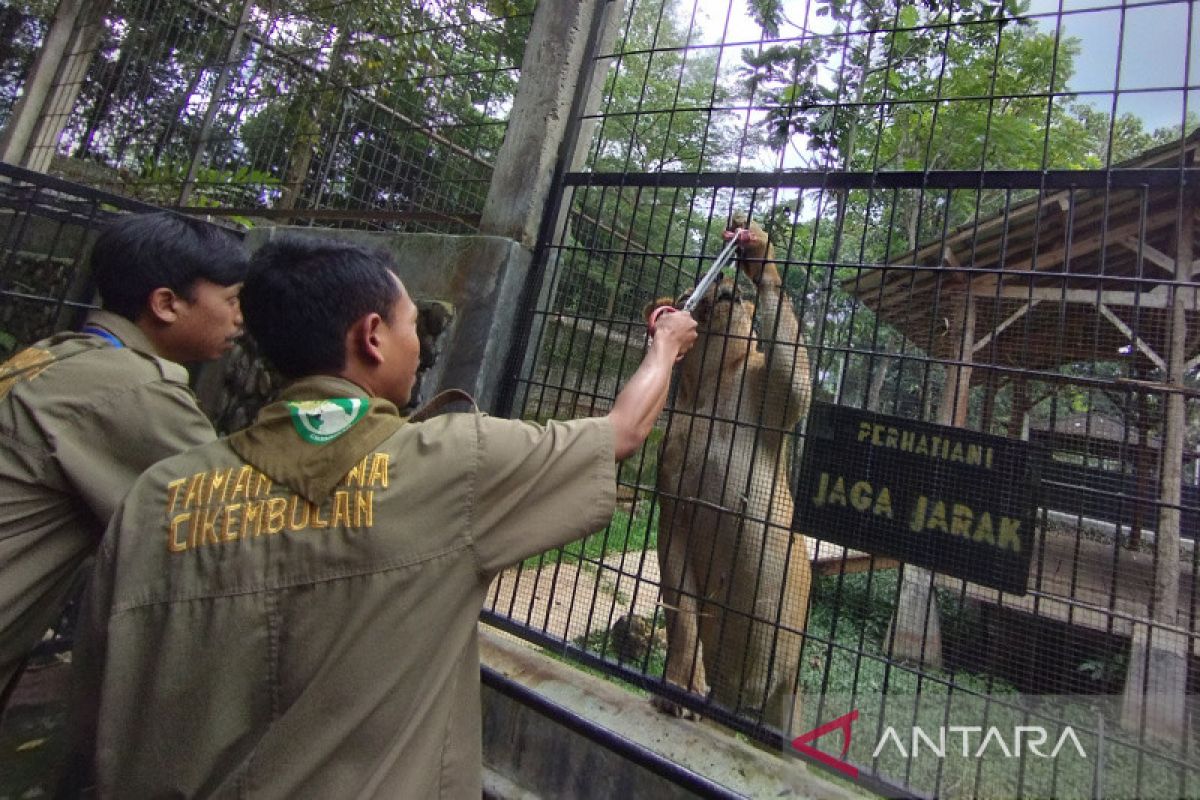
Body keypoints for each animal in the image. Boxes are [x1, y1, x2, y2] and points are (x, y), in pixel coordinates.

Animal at [648, 214, 816, 738]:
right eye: (691, 287)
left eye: (742, 293)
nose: (722, 278)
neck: (712, 388)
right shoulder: (674, 510)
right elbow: (683, 620)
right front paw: (675, 690)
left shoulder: (779, 392)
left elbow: (793, 366)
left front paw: (757, 249)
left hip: (790, 697)